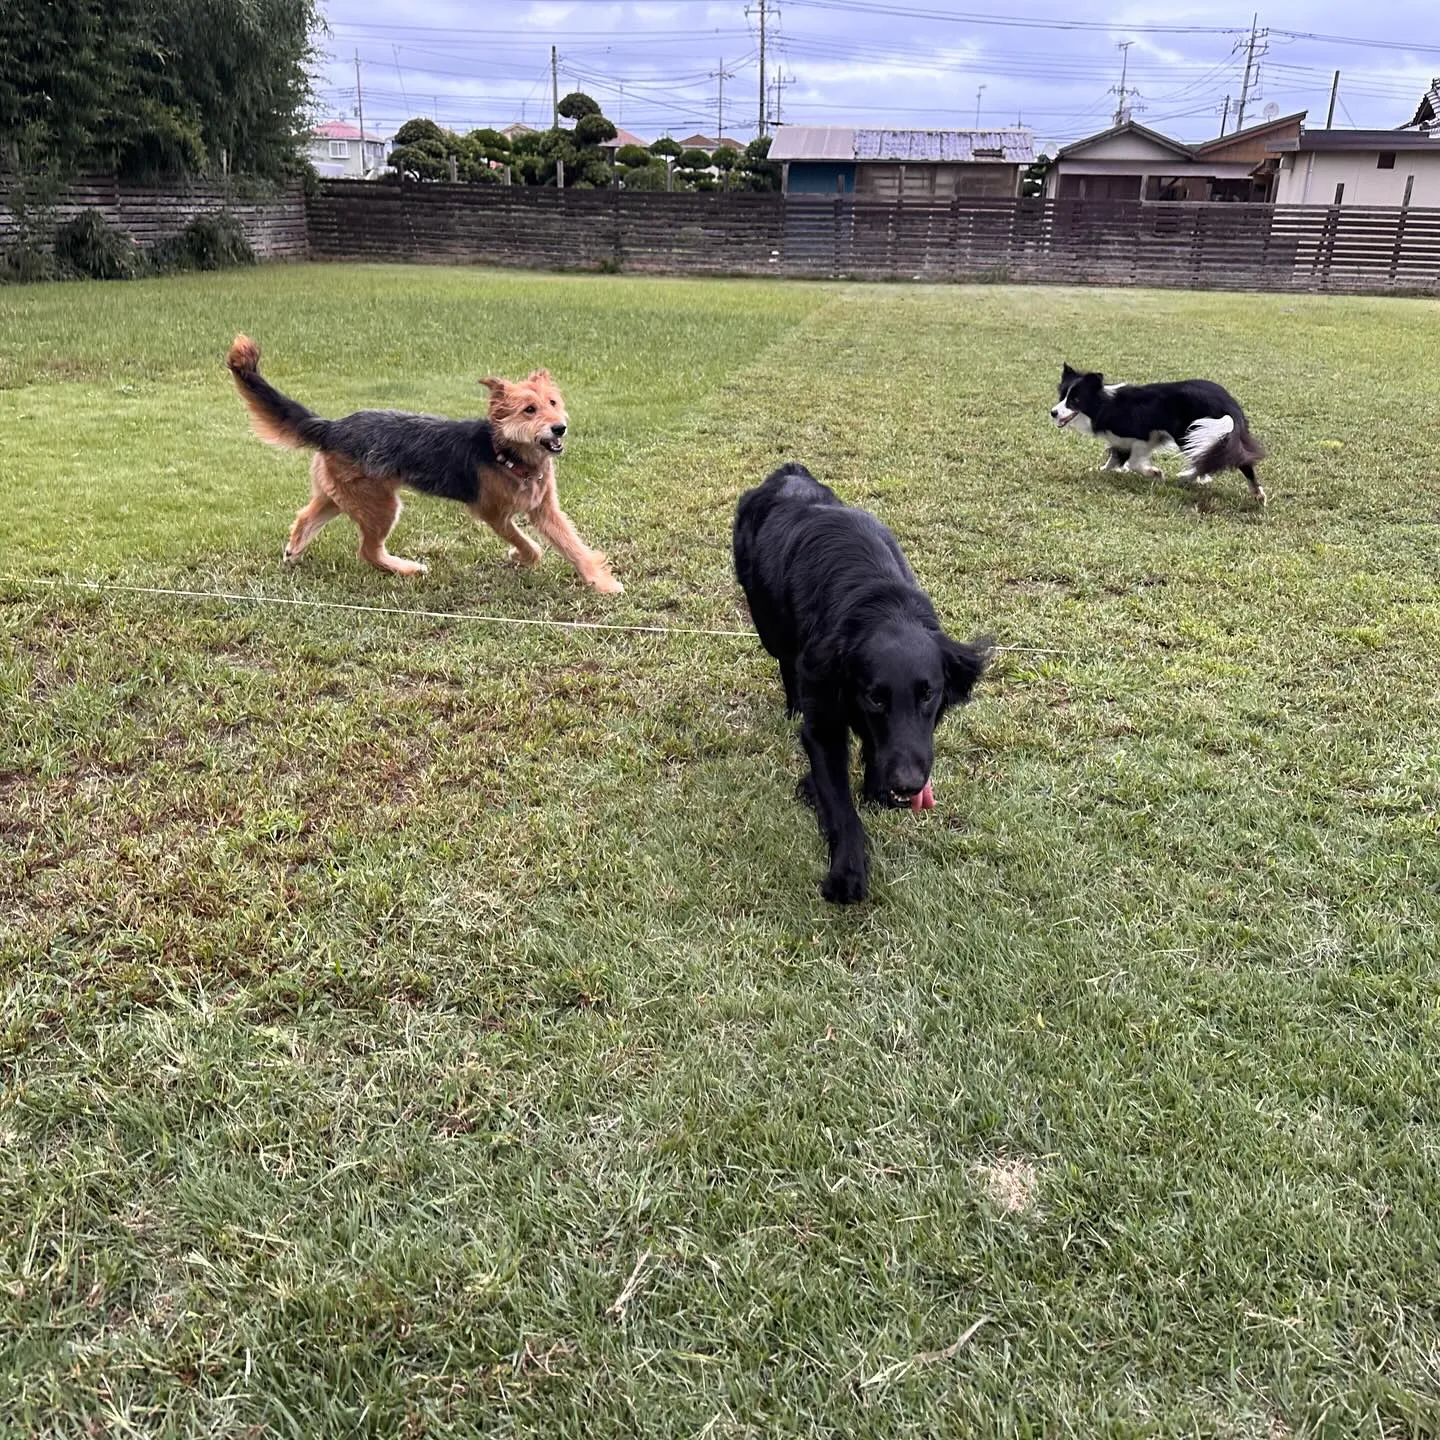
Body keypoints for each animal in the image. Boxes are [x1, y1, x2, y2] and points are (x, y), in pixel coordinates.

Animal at [227, 331, 622, 590]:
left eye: (552, 402)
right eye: (529, 410)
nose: (559, 428)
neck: (507, 454)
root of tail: (333, 426)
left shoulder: (545, 510)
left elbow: (572, 546)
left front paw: (600, 582)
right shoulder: (494, 514)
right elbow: (532, 547)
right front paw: (519, 556)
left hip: (341, 496)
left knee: (306, 517)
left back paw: (294, 552)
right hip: (381, 505)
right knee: (368, 551)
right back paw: (406, 569)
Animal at [731, 460, 990, 904]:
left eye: (929, 694)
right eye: (876, 698)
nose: (908, 784)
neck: (879, 601)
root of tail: (788, 471)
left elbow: (875, 747)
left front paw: (875, 789)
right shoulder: (823, 722)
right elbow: (839, 802)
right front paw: (848, 872)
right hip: (768, 625)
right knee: (784, 662)